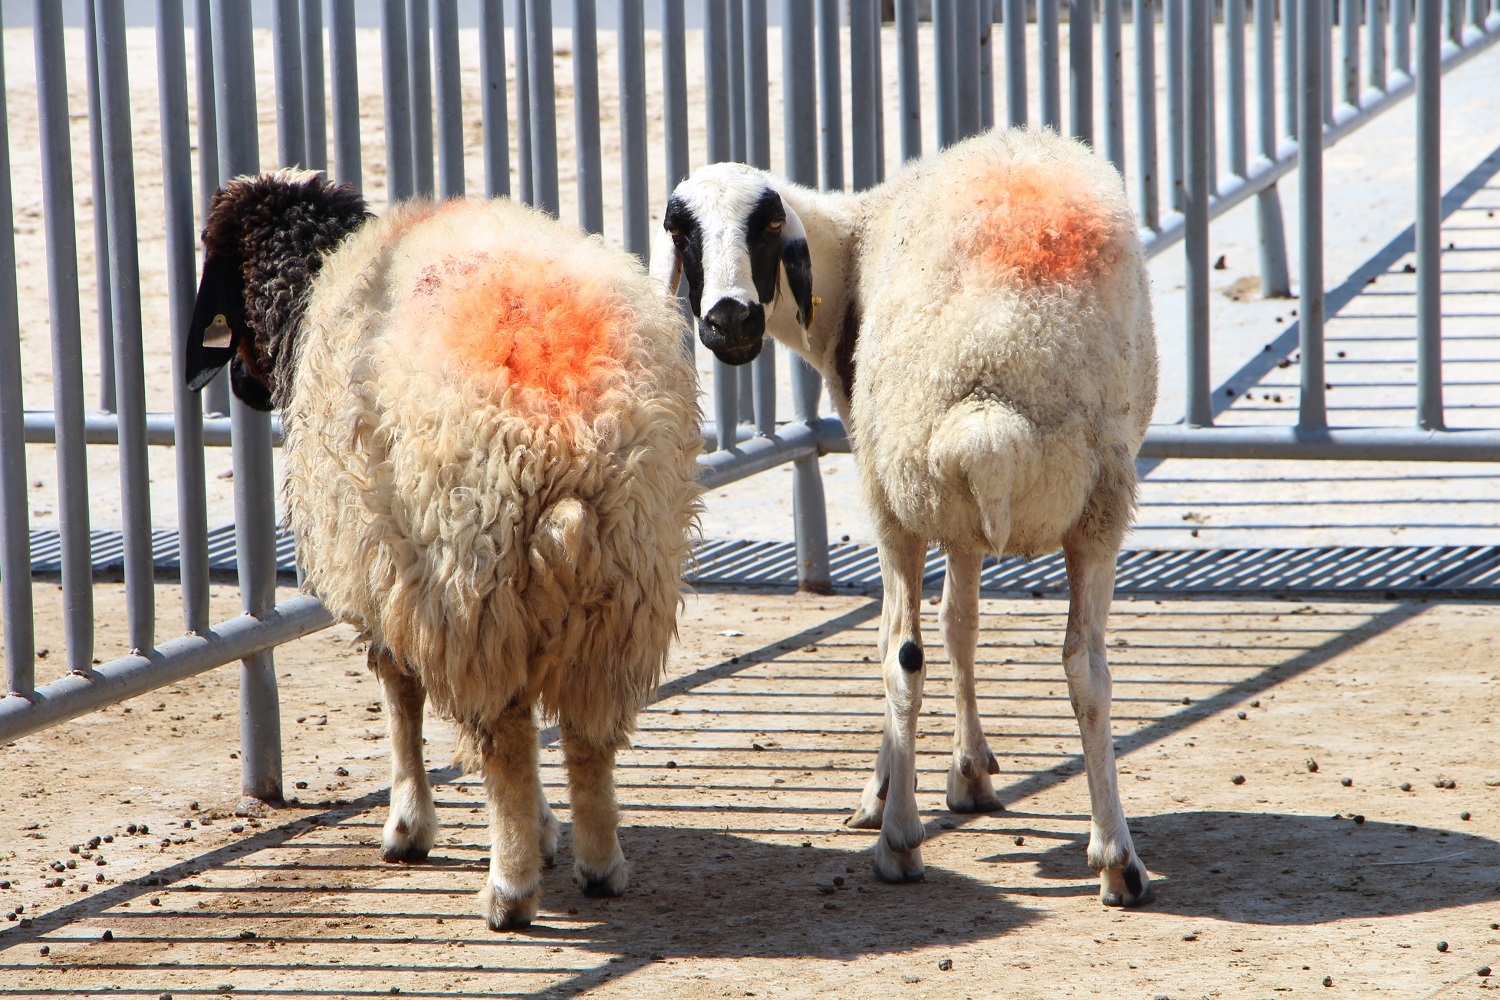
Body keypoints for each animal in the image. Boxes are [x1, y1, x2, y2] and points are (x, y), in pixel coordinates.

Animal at [186, 172, 702, 929]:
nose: (244, 388)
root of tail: (568, 444)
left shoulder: (387, 571)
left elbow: (400, 697)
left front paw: (408, 826)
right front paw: (547, 830)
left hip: (473, 579)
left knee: (507, 739)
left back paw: (509, 891)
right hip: (624, 583)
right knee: (587, 733)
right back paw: (600, 863)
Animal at [654, 127, 1158, 905]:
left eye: (766, 225)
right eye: (682, 232)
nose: (730, 319)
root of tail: (992, 396)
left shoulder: (910, 500)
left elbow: (924, 639)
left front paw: (889, 790)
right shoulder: (962, 522)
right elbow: (963, 625)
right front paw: (970, 770)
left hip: (896, 494)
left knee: (900, 655)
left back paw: (898, 843)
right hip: (1094, 502)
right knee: (1086, 670)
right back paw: (1116, 860)